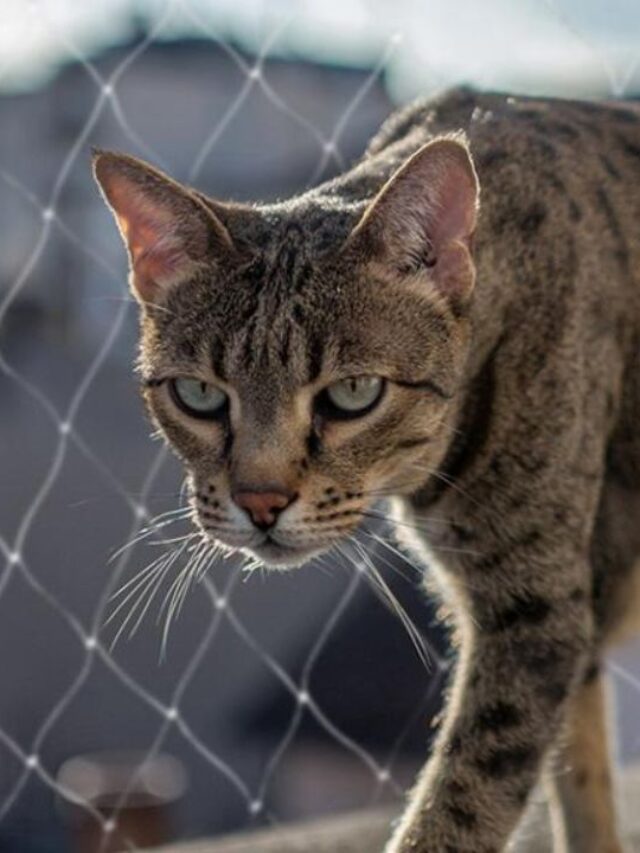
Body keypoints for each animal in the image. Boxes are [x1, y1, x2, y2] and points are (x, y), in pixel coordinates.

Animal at [92, 88, 640, 852]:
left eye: (353, 393)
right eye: (199, 394)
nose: (260, 501)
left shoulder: (537, 611)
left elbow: (465, 803)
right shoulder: (553, 615)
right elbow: (582, 790)